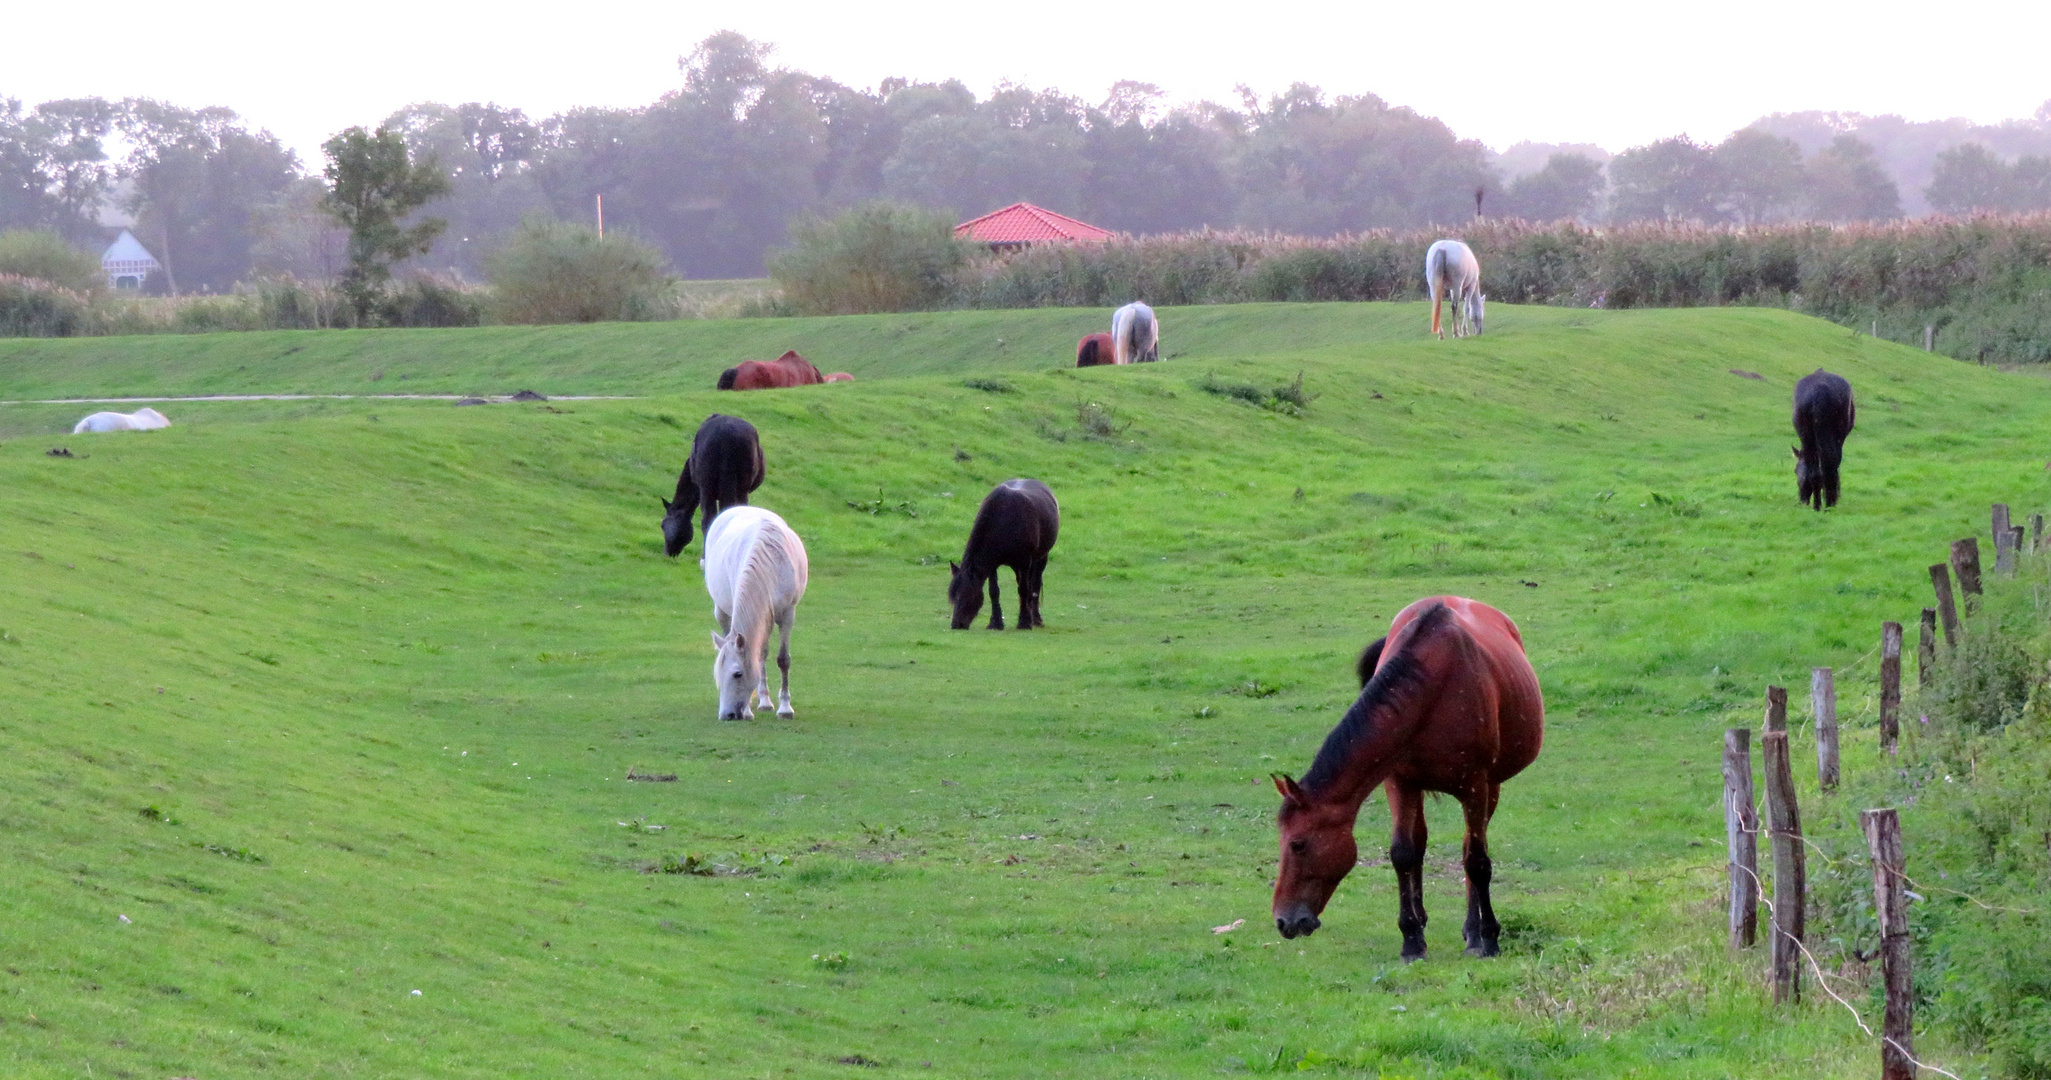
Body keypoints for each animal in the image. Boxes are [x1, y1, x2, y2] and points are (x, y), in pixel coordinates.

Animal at [701, 504, 803, 721]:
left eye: (737, 674)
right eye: (718, 675)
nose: (726, 715)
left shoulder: (787, 614)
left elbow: (783, 660)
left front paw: (785, 708)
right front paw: (748, 710)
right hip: (722, 612)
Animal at [951, 479, 1066, 631]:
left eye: (967, 594)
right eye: (953, 597)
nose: (956, 624)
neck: (1004, 520)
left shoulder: (1024, 562)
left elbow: (1024, 590)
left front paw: (1024, 623)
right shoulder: (992, 565)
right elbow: (994, 591)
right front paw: (995, 623)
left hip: (1040, 558)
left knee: (1034, 586)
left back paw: (1035, 619)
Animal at [1263, 598, 1542, 963]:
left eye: (1298, 844)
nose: (1284, 921)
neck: (1433, 686)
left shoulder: (1475, 786)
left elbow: (1478, 862)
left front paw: (1489, 937)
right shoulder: (1398, 782)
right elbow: (1403, 853)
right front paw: (1411, 939)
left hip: (1490, 788)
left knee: (1470, 849)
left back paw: (1473, 932)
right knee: (1421, 842)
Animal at [1796, 372, 1862, 512]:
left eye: (1795, 471)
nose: (1802, 500)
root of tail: (1818, 392)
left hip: (1808, 438)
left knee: (1816, 473)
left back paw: (1818, 505)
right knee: (1830, 465)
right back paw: (1829, 503)